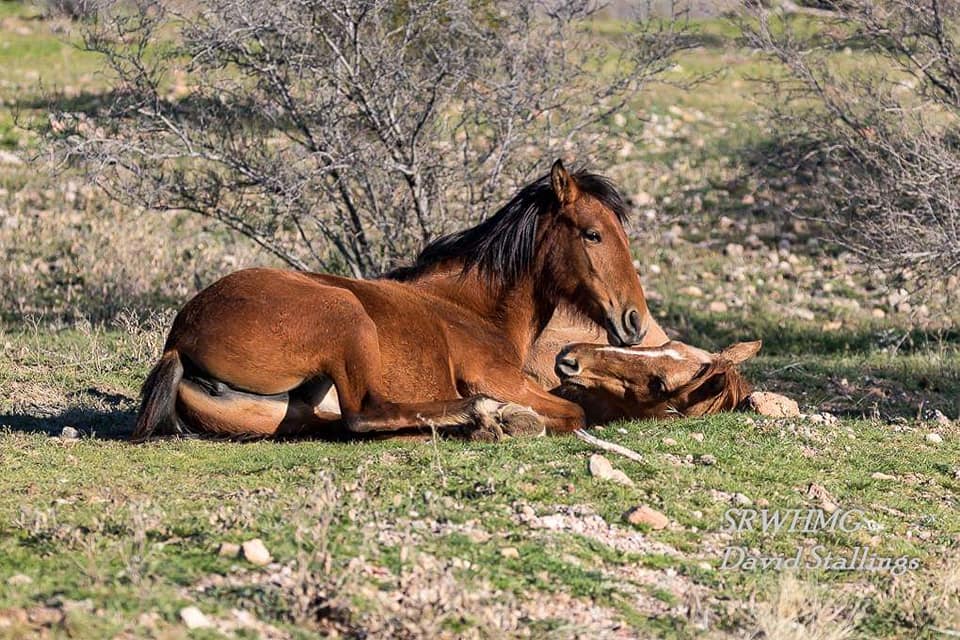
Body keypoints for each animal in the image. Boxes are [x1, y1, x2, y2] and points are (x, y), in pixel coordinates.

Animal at [132, 160, 654, 441]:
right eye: (592, 234)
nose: (635, 322)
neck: (472, 309)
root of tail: (179, 340)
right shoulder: (499, 377)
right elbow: (572, 412)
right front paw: (511, 417)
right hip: (345, 315)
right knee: (365, 415)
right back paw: (481, 415)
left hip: (296, 410)